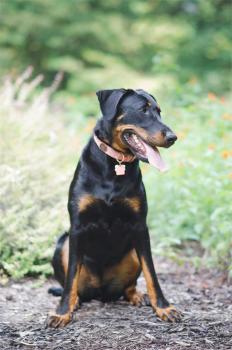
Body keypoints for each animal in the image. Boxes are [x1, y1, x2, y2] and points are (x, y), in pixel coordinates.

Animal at [47, 88, 181, 328]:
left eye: (159, 111)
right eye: (143, 110)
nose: (172, 137)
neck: (115, 164)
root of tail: (101, 293)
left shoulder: (140, 226)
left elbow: (151, 273)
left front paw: (164, 307)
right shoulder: (77, 227)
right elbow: (71, 276)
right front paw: (62, 312)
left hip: (133, 252)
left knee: (129, 286)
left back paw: (137, 296)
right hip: (63, 243)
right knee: (73, 285)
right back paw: (75, 301)